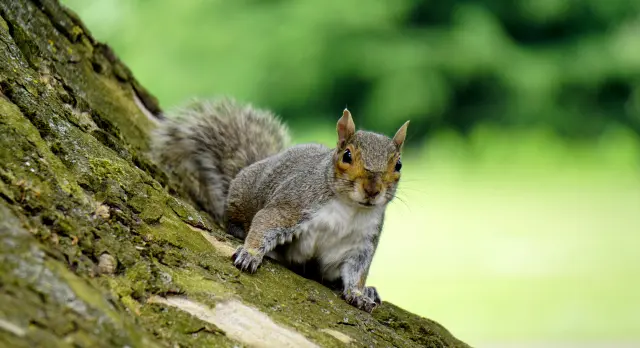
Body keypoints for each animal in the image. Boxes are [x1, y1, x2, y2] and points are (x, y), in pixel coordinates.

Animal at [151, 98, 408, 312]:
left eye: (399, 165)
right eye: (347, 156)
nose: (372, 190)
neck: (350, 208)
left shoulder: (361, 242)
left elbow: (357, 271)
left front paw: (358, 293)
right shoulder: (295, 203)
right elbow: (266, 221)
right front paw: (250, 254)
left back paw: (370, 291)